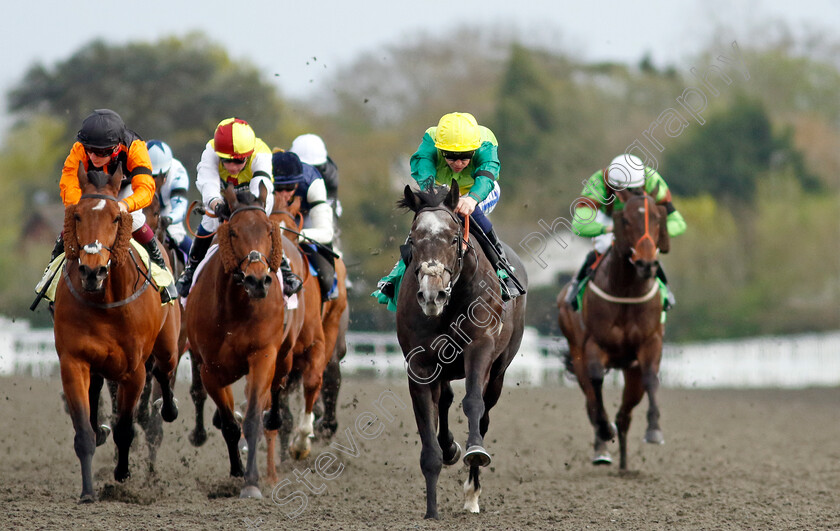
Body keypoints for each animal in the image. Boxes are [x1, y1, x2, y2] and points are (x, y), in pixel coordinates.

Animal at [53, 166, 179, 502]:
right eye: (77, 216)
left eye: (115, 218)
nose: (92, 271)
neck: (105, 300)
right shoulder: (73, 361)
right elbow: (83, 430)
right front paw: (88, 492)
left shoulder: (133, 370)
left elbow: (126, 427)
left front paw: (122, 474)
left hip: (168, 344)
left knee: (165, 371)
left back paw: (169, 408)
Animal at [182, 183, 290, 498]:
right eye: (233, 232)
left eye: (268, 230)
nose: (257, 280)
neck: (238, 307)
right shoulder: (211, 369)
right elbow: (230, 424)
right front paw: (238, 472)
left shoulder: (263, 355)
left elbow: (253, 417)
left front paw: (252, 482)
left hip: (285, 354)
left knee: (277, 388)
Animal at [268, 194, 350, 482]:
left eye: (292, 229)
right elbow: (280, 407)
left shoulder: (316, 344)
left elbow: (314, 382)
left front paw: (301, 443)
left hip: (334, 325)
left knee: (330, 374)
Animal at [398, 183, 528, 520]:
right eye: (413, 240)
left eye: (454, 238)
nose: (432, 294)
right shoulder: (419, 366)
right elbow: (428, 438)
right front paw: (431, 511)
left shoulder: (479, 349)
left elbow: (473, 403)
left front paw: (475, 453)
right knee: (444, 400)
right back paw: (451, 449)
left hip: (499, 371)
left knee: (483, 413)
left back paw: (472, 493)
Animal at [556, 190, 668, 470]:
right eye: (625, 221)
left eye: (658, 219)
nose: (647, 264)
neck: (626, 290)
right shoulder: (594, 345)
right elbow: (596, 383)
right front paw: (604, 432)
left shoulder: (650, 343)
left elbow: (651, 378)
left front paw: (654, 429)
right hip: (578, 355)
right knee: (591, 401)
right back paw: (603, 447)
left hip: (631, 370)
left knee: (625, 414)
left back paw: (624, 463)